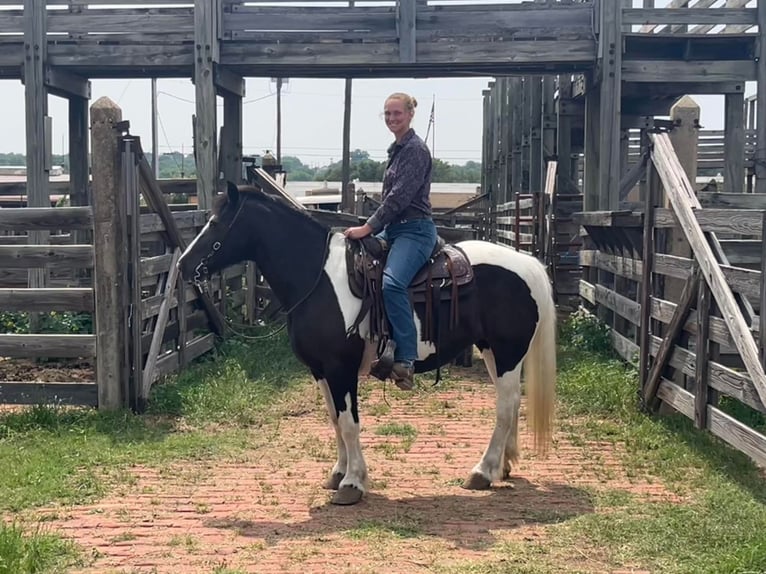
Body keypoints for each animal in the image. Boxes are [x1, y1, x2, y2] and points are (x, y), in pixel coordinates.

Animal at [180, 182, 560, 506]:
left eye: (216, 223)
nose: (184, 265)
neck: (317, 278)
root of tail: (527, 263)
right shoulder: (320, 370)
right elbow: (334, 419)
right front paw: (338, 473)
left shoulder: (340, 368)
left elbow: (349, 423)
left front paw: (353, 483)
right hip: (493, 351)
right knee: (512, 404)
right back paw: (503, 466)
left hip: (508, 352)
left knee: (505, 406)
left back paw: (482, 472)